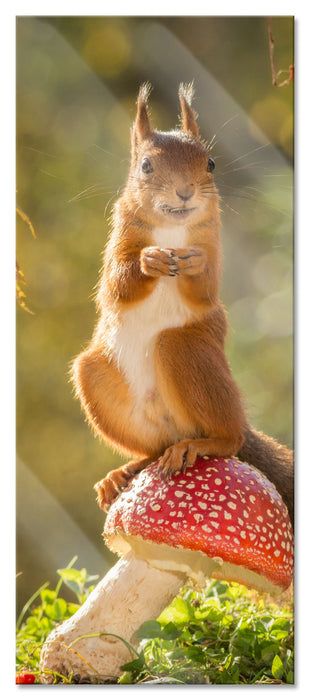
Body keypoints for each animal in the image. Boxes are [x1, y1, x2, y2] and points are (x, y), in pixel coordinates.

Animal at [71, 83, 294, 524]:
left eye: (210, 163)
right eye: (145, 166)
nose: (186, 191)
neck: (172, 230)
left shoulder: (213, 240)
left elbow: (205, 289)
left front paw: (194, 264)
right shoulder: (118, 239)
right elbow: (116, 286)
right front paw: (149, 261)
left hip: (187, 350)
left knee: (228, 437)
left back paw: (203, 444)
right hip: (96, 379)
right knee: (154, 449)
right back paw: (125, 472)